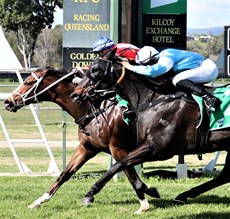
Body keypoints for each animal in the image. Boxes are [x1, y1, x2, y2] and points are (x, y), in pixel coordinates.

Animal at [4, 66, 160, 214]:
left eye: (28, 82)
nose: (8, 101)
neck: (93, 110)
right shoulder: (87, 147)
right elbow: (65, 174)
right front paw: (39, 200)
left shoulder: (118, 149)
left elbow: (130, 175)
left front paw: (144, 203)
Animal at [73, 50, 230, 211]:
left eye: (96, 69)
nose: (76, 94)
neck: (154, 99)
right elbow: (122, 165)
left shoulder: (156, 148)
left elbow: (118, 164)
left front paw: (91, 193)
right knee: (225, 176)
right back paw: (183, 195)